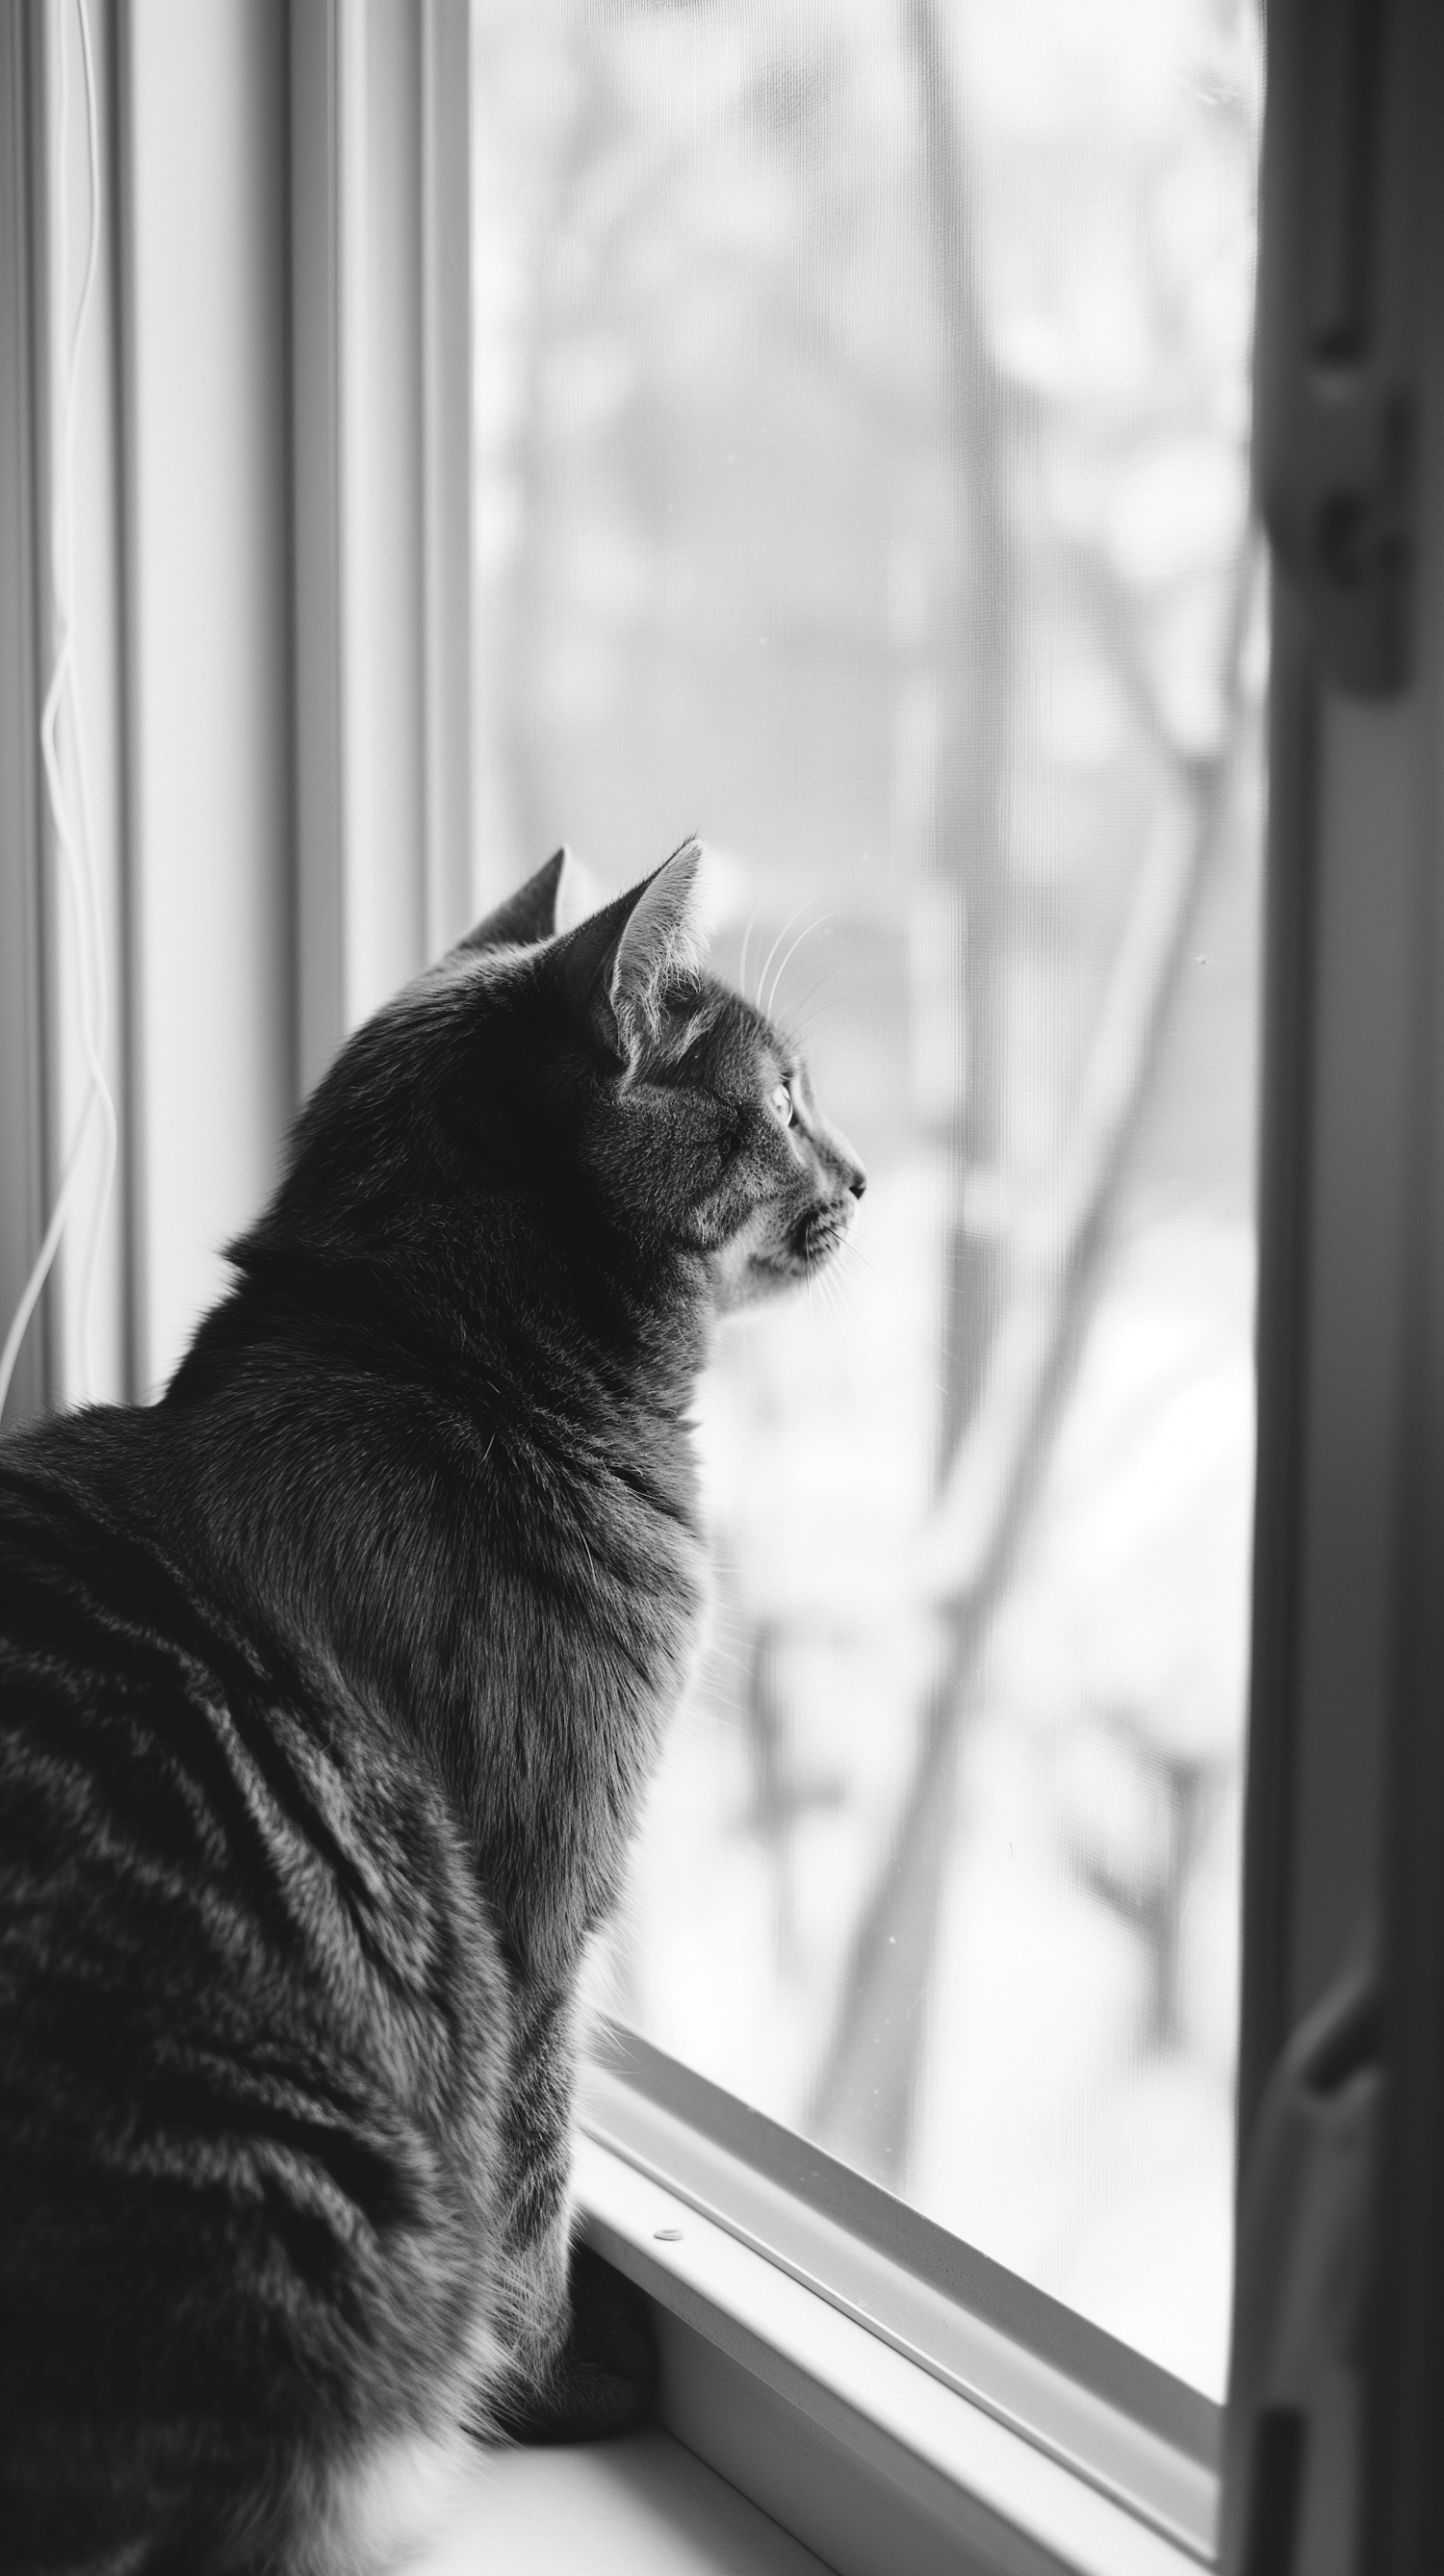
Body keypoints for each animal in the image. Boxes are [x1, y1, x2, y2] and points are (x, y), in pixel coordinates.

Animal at [0, 850, 860, 2576]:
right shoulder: (539, 1913)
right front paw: (556, 2376)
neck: (435, 1352)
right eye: (788, 1098)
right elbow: (532, 2172)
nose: (866, 1177)